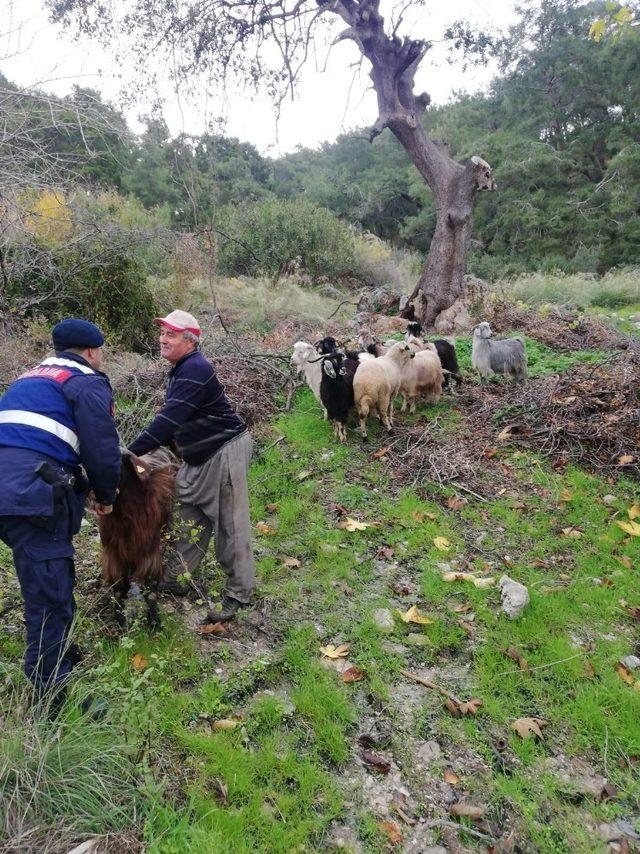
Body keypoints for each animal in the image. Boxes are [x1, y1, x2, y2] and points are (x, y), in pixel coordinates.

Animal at [97, 452, 174, 624]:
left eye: (119, 463)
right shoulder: (113, 554)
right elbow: (119, 588)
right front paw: (119, 618)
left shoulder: (150, 553)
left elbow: (150, 590)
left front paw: (154, 622)